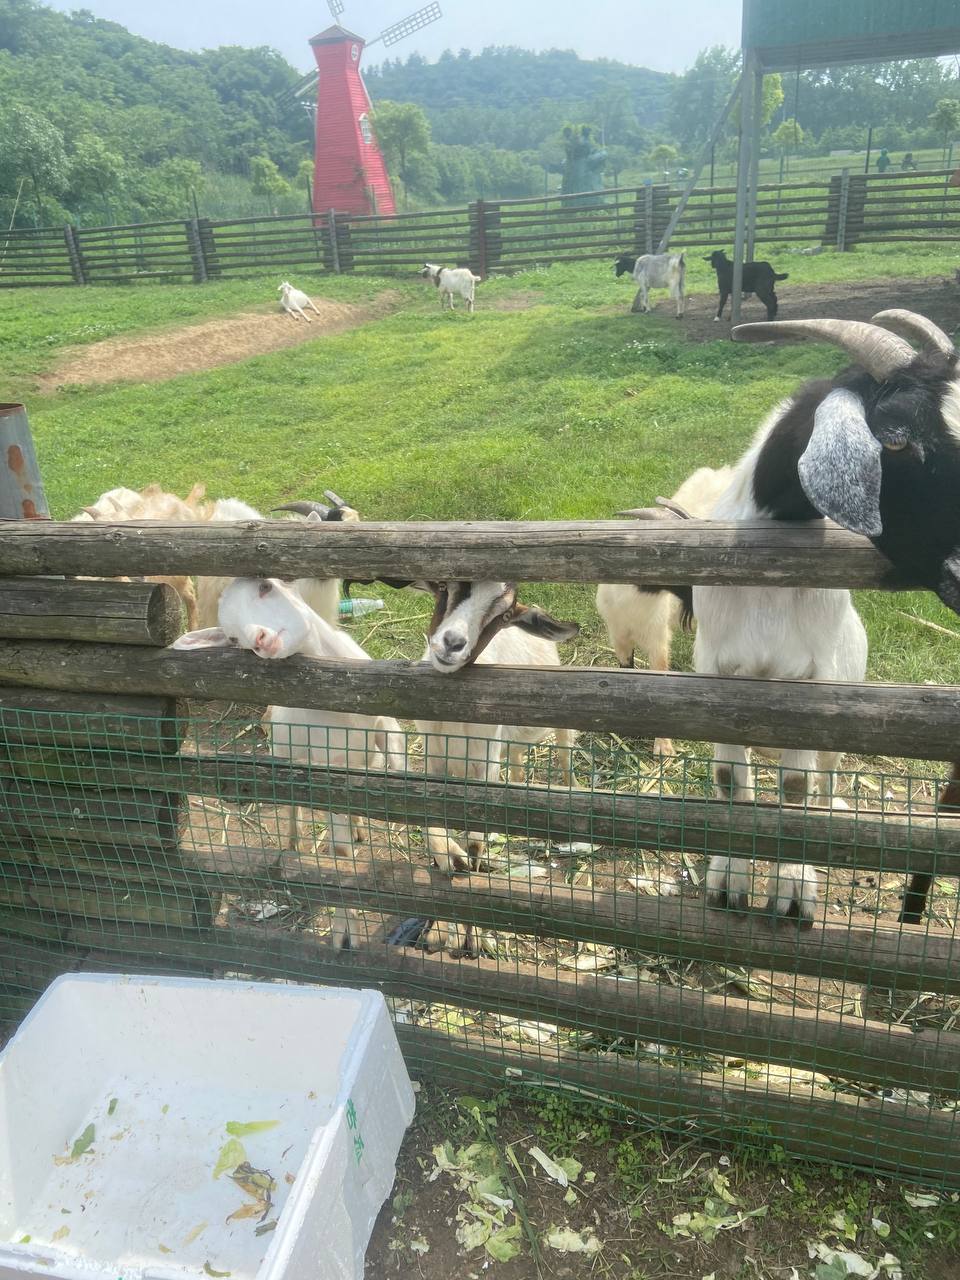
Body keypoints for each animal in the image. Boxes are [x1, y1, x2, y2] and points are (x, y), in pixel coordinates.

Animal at [172, 577, 405, 949]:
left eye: (266, 586)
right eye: (233, 638)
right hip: (286, 757)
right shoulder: (329, 769)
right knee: (295, 806)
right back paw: (296, 842)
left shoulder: (387, 723)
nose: (259, 639)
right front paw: (346, 931)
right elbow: (340, 855)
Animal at [690, 420, 868, 924]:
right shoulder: (715, 677)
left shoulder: (814, 684)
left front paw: (791, 891)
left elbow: (795, 786)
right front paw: (728, 884)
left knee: (827, 775)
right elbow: (730, 780)